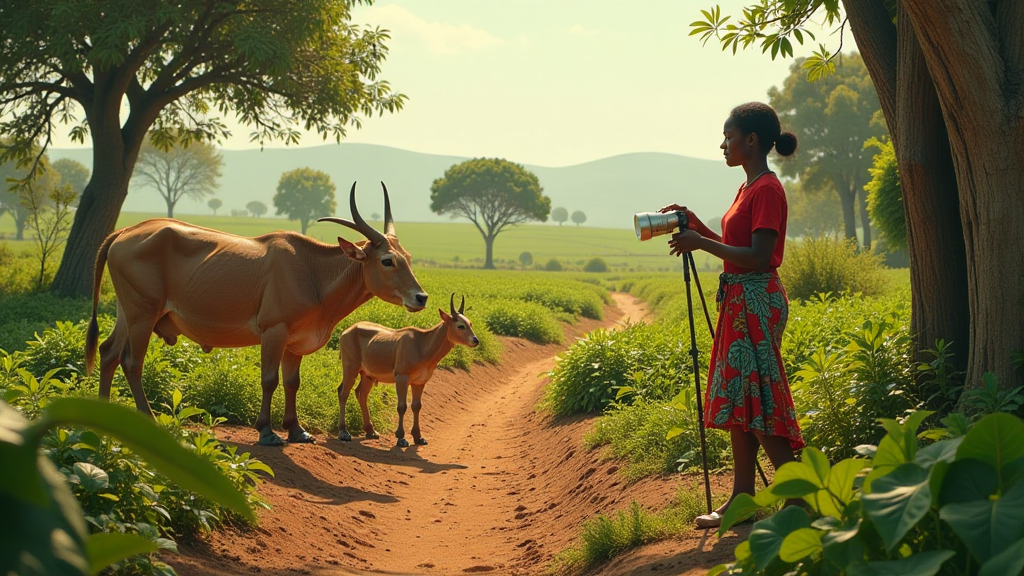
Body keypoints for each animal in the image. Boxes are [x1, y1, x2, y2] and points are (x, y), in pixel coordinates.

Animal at [82, 181, 428, 446]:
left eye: (409, 257)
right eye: (387, 260)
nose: (421, 297)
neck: (312, 271)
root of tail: (124, 233)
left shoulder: (294, 342)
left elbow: (292, 382)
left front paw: (296, 430)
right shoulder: (274, 332)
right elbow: (270, 380)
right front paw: (267, 432)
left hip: (128, 314)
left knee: (108, 352)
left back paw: (103, 415)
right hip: (142, 314)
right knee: (131, 361)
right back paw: (148, 420)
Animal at [335, 293, 479, 446]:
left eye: (470, 324)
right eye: (460, 326)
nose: (475, 340)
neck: (422, 344)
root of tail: (346, 331)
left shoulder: (419, 382)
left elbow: (416, 406)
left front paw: (418, 437)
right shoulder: (402, 377)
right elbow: (402, 406)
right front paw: (401, 438)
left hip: (367, 375)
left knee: (361, 394)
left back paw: (371, 431)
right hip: (350, 367)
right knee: (343, 393)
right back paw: (344, 432)